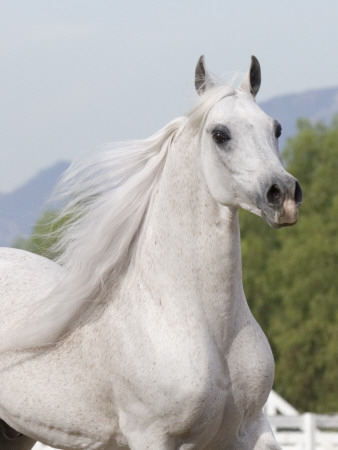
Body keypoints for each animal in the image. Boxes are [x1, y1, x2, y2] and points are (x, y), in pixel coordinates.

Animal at [0, 57, 302, 450]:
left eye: (275, 129)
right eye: (220, 134)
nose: (284, 195)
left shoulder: (252, 429)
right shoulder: (153, 435)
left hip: (16, 431)